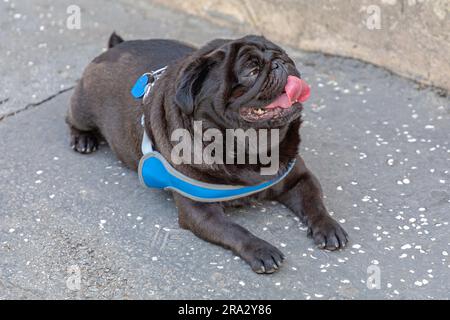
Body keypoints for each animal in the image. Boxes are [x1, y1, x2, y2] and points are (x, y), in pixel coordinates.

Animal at [67, 33, 348, 276]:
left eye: (284, 56)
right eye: (251, 71)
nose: (280, 63)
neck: (249, 149)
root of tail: (115, 47)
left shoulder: (300, 178)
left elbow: (314, 202)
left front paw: (328, 226)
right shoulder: (199, 211)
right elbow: (234, 229)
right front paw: (260, 249)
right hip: (82, 108)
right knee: (72, 120)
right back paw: (83, 139)